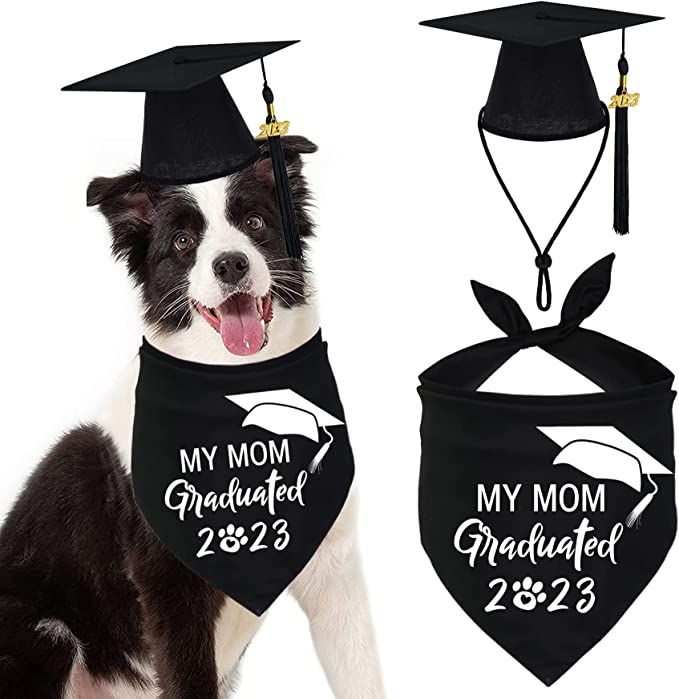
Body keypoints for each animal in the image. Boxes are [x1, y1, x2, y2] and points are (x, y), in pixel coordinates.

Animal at [0, 137, 382, 699]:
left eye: (255, 222)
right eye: (182, 242)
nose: (231, 265)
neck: (241, 396)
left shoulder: (335, 569)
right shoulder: (169, 582)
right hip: (41, 630)